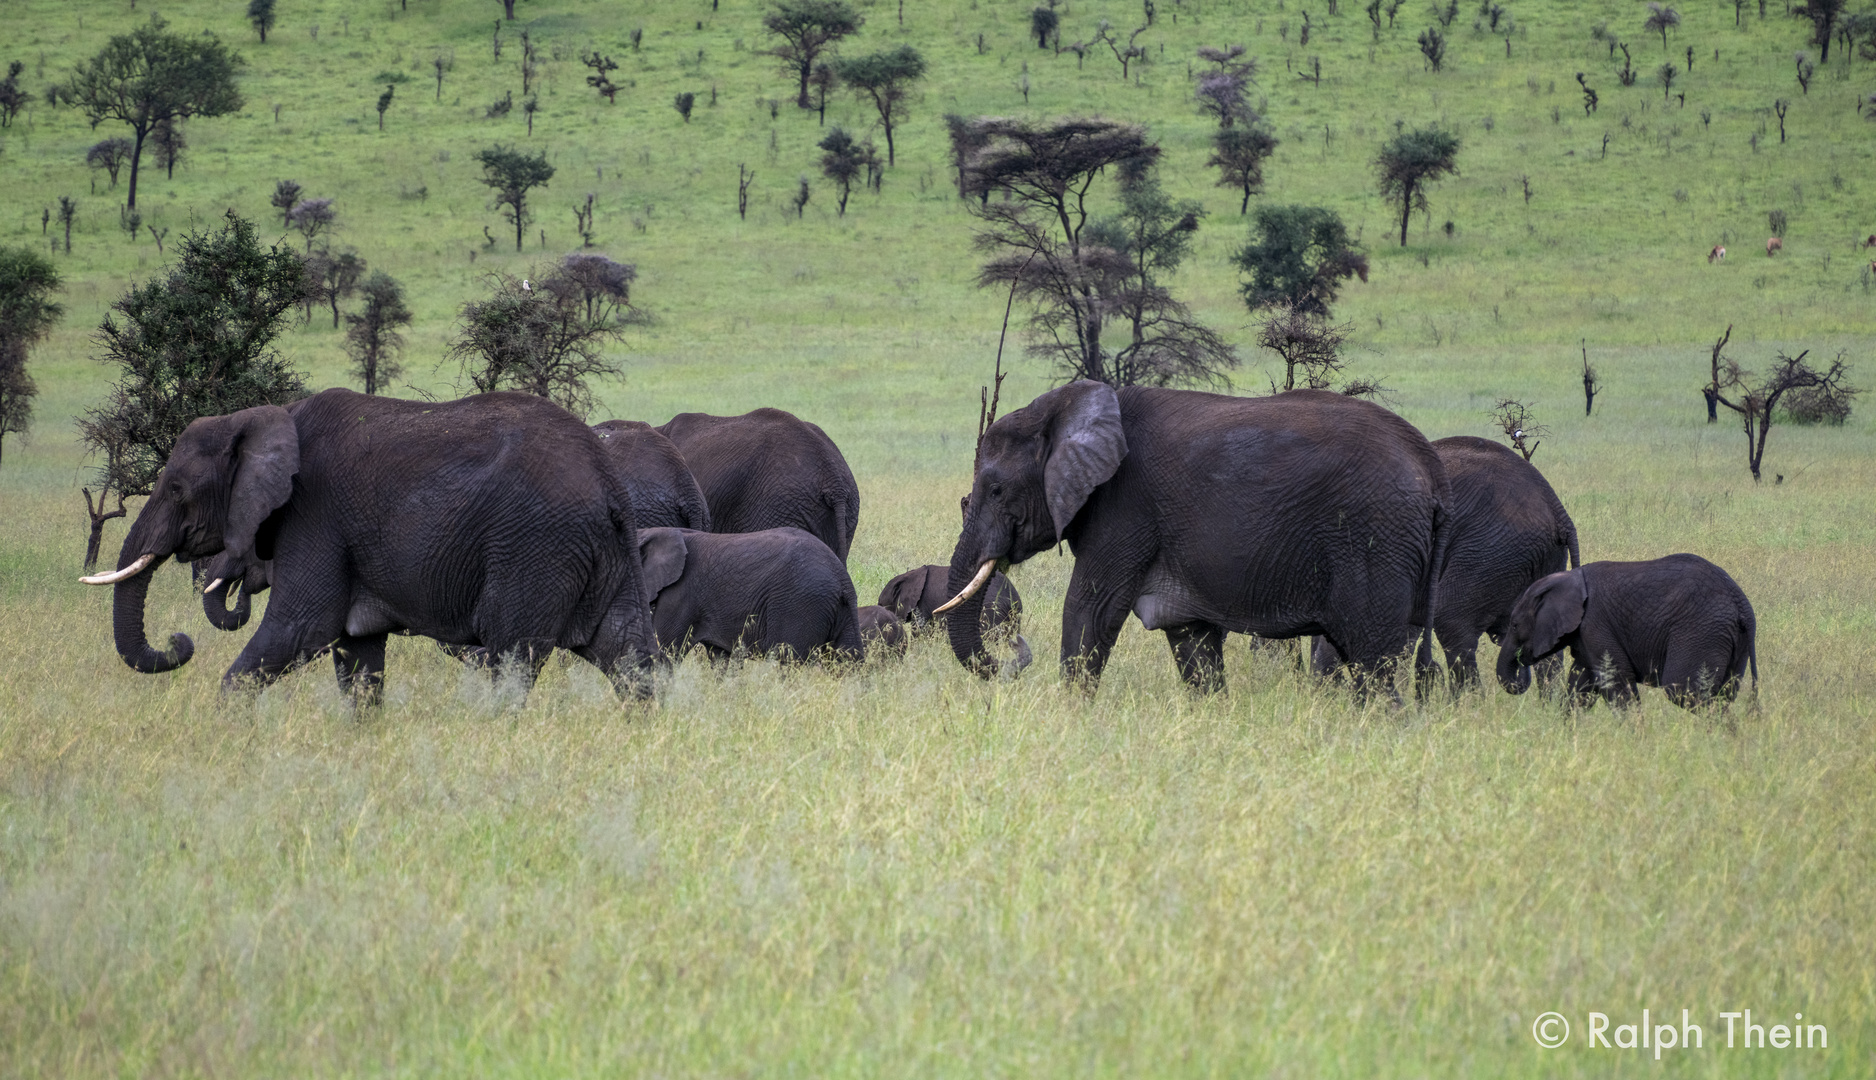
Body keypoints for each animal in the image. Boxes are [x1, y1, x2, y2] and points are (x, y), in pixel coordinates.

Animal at [84, 391, 664, 705]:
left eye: (175, 490)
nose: (178, 642)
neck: (258, 417)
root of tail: (607, 481)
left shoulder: (314, 517)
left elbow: (301, 630)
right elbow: (357, 655)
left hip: (533, 548)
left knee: (510, 659)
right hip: (601, 553)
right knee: (628, 656)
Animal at [938, 384, 1448, 697]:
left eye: (996, 489)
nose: (1012, 648)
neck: (1067, 405)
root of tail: (1432, 468)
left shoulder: (1125, 509)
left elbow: (1090, 611)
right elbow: (1191, 641)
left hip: (1374, 541)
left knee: (1372, 663)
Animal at [1493, 555, 1755, 708]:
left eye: (1514, 625)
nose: (1521, 659)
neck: (1569, 578)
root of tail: (1741, 604)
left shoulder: (1595, 623)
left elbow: (1616, 683)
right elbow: (1580, 685)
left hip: (1701, 632)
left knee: (1686, 692)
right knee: (1723, 696)